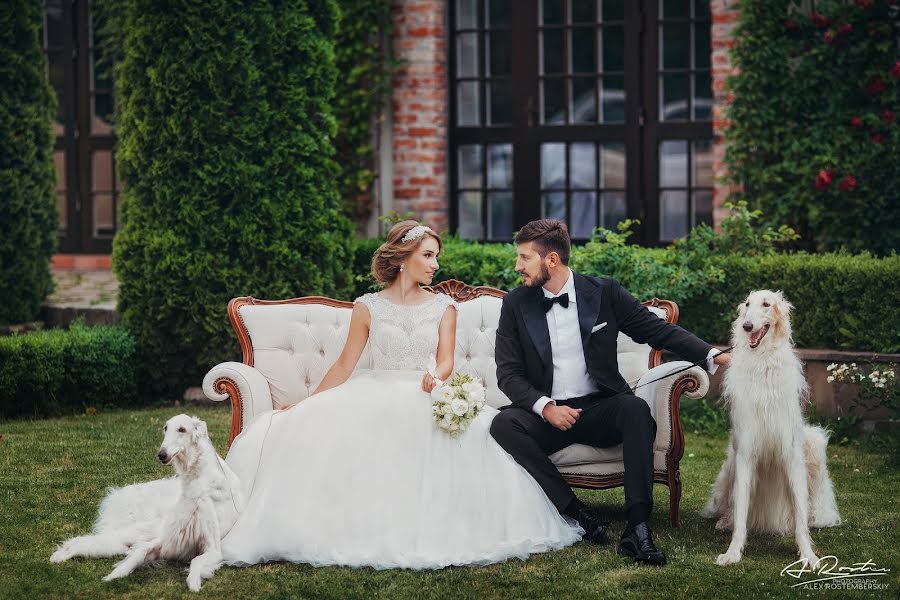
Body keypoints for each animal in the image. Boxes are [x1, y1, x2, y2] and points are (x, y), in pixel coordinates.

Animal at [49, 414, 244, 592]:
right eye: (165, 428)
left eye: (182, 429)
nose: (161, 455)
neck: (198, 480)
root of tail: (118, 496)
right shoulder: (165, 539)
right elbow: (140, 553)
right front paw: (117, 572)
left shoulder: (212, 548)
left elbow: (195, 561)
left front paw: (193, 582)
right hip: (137, 532)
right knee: (82, 540)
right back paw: (59, 555)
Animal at [704, 290, 844, 568]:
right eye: (747, 305)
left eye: (766, 304)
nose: (747, 326)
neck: (763, 362)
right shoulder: (745, 452)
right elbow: (741, 511)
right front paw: (733, 552)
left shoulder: (791, 454)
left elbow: (800, 516)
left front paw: (808, 555)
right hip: (730, 465)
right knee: (731, 506)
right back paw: (725, 521)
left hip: (813, 442)